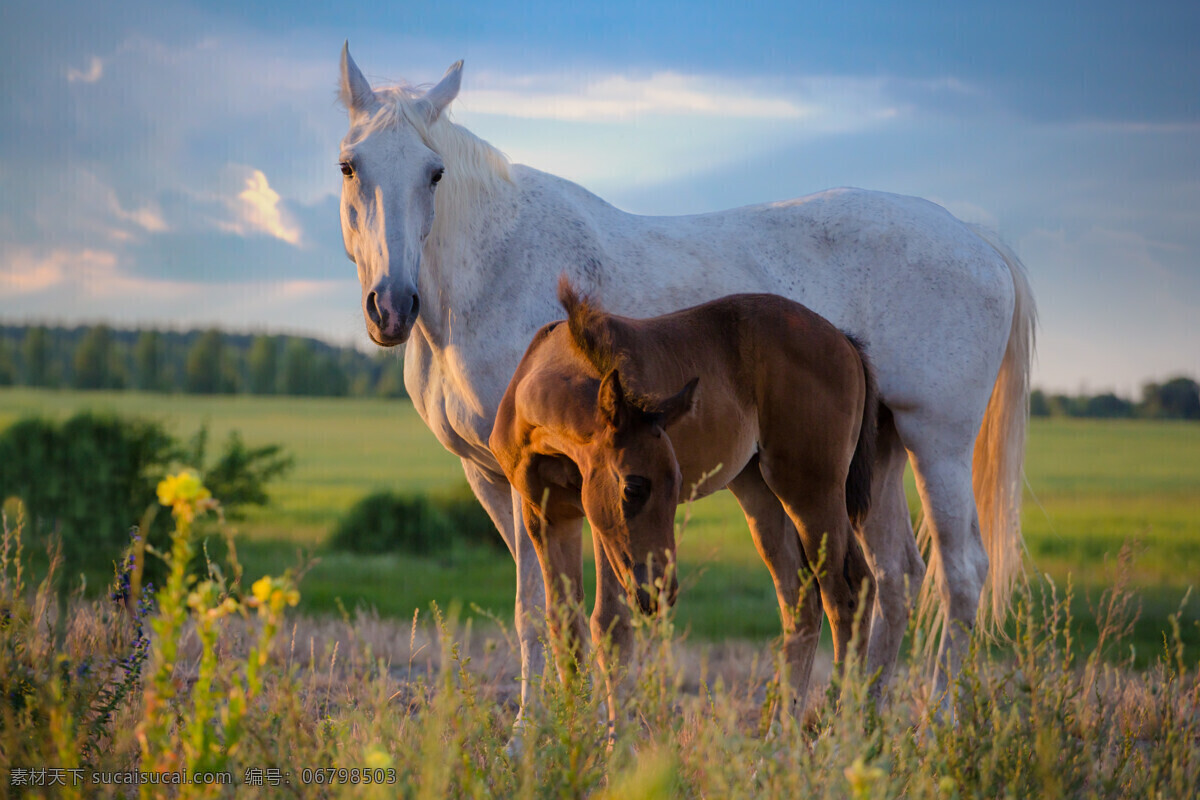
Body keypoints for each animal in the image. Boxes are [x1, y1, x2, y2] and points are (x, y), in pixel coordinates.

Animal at [336, 42, 1032, 719]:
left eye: (434, 173)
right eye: (350, 166)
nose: (391, 307)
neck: (488, 272)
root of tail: (980, 242)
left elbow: (543, 611)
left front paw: (538, 732)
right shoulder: (491, 475)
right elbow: (540, 611)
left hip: (934, 441)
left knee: (958, 574)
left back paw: (938, 723)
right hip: (876, 452)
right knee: (894, 577)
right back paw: (867, 723)